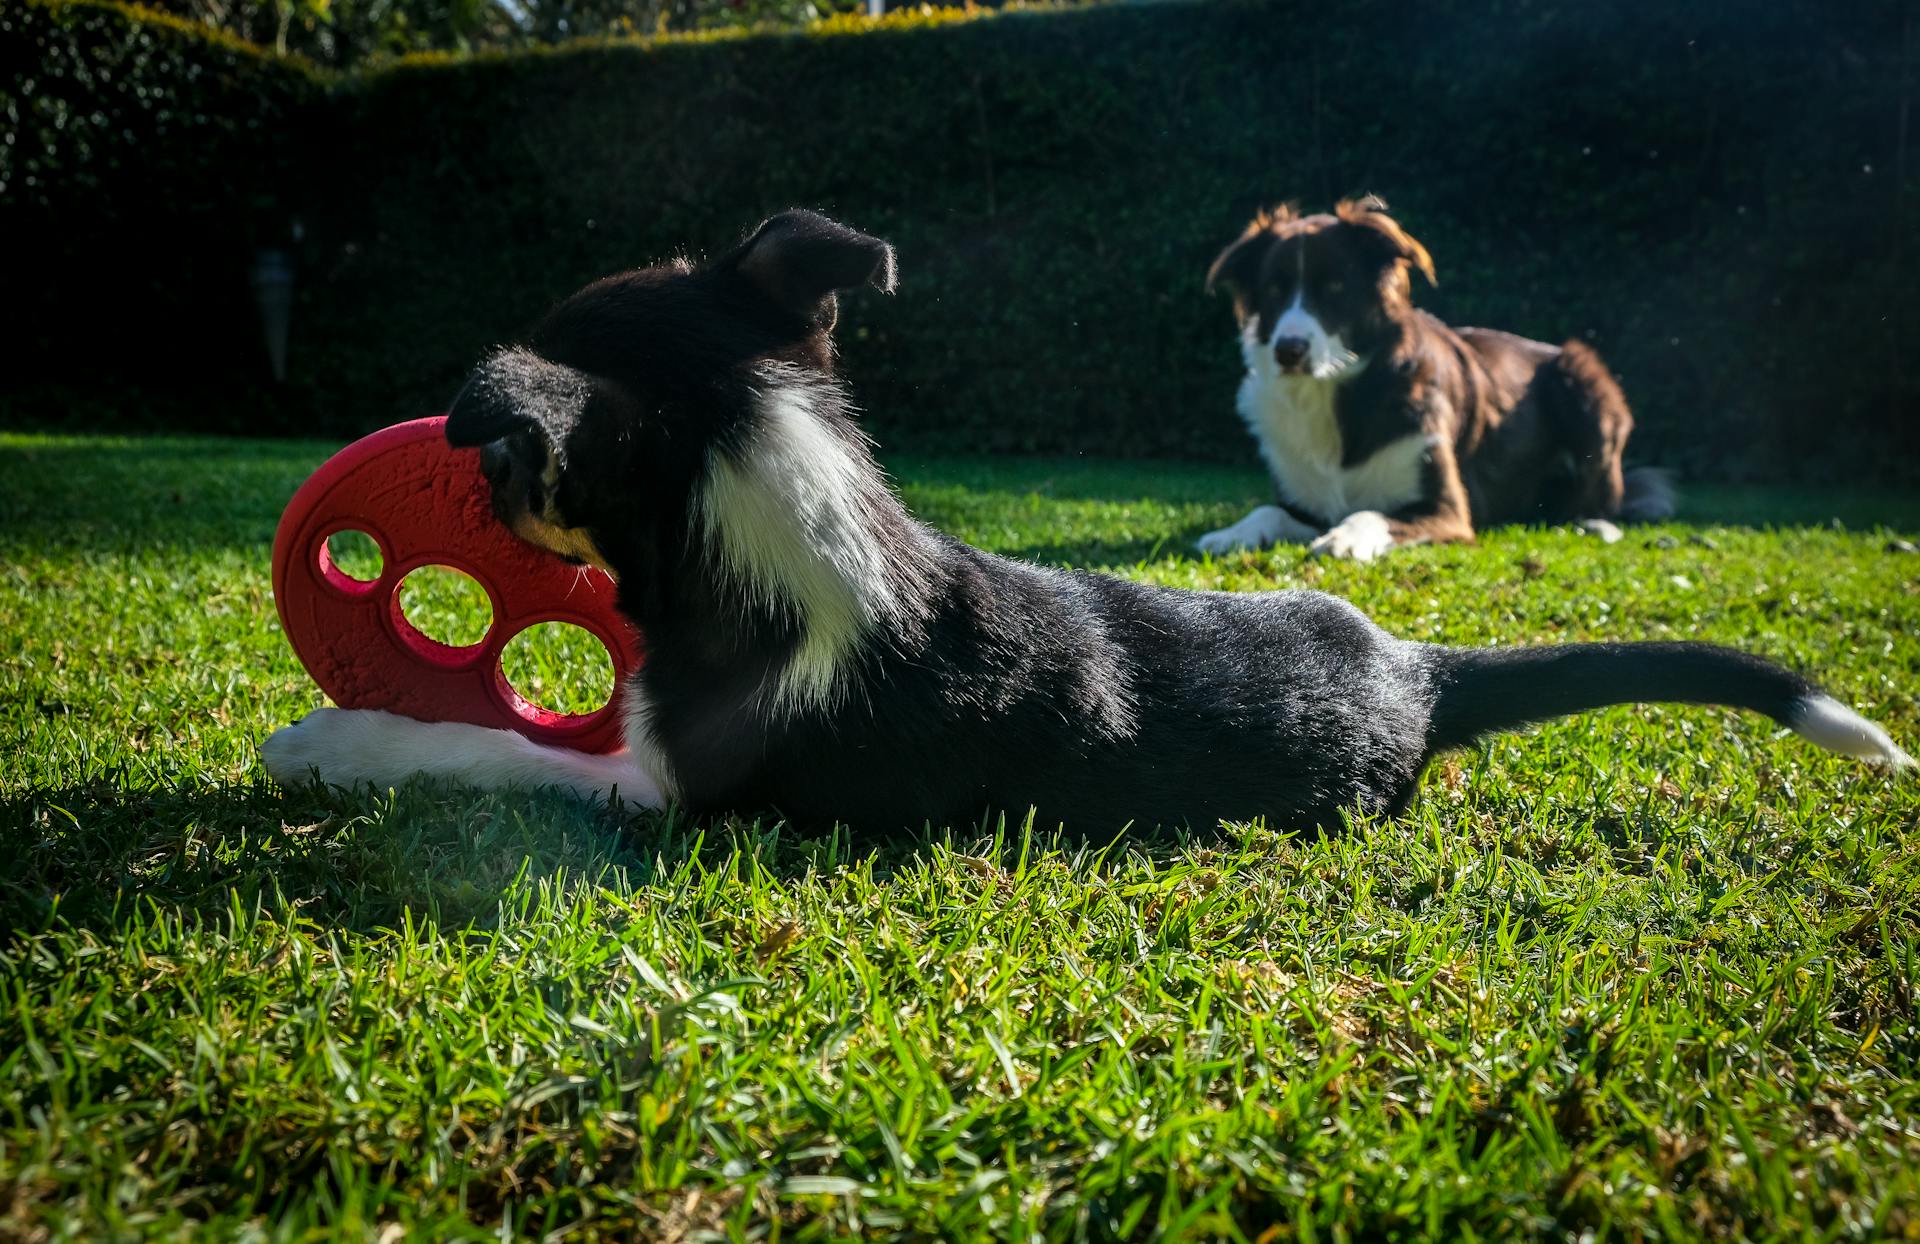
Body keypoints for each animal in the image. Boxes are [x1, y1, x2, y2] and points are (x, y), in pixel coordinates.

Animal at [1198, 200, 1666, 564]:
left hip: (1586, 379)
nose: (1288, 350)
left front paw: (1345, 538)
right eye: (1274, 290)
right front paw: (1229, 534)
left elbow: (1368, 513)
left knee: (1603, 497)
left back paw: (1596, 524)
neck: (1336, 395)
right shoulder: (1303, 501)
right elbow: (1267, 510)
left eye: (1335, 286)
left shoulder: (1448, 511)